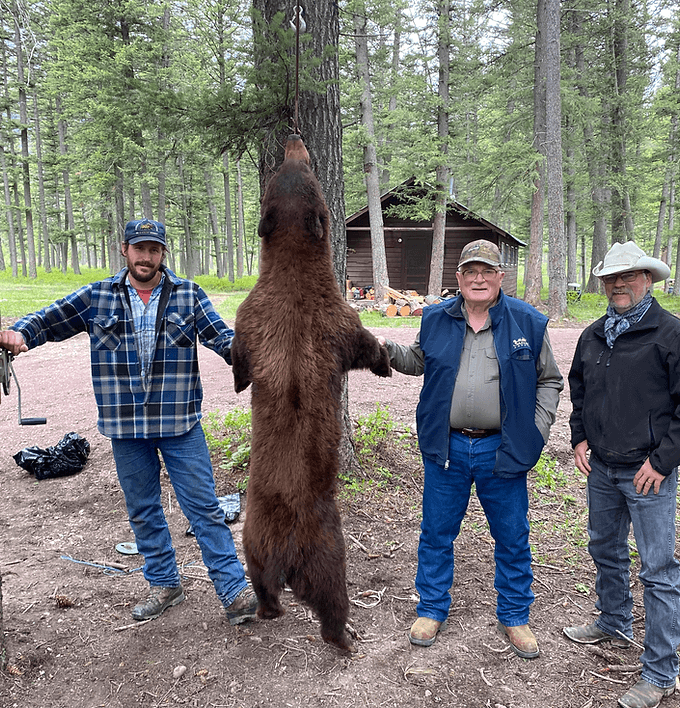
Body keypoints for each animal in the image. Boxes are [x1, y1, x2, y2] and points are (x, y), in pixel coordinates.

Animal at [231, 135, 391, 652]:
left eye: (289, 168)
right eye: (309, 173)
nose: (294, 137)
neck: (293, 266)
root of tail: (286, 552)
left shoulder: (250, 316)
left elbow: (240, 359)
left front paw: (237, 377)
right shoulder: (335, 315)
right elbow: (361, 341)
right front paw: (384, 360)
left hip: (253, 542)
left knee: (262, 584)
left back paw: (265, 608)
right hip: (326, 548)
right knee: (331, 597)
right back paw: (345, 636)